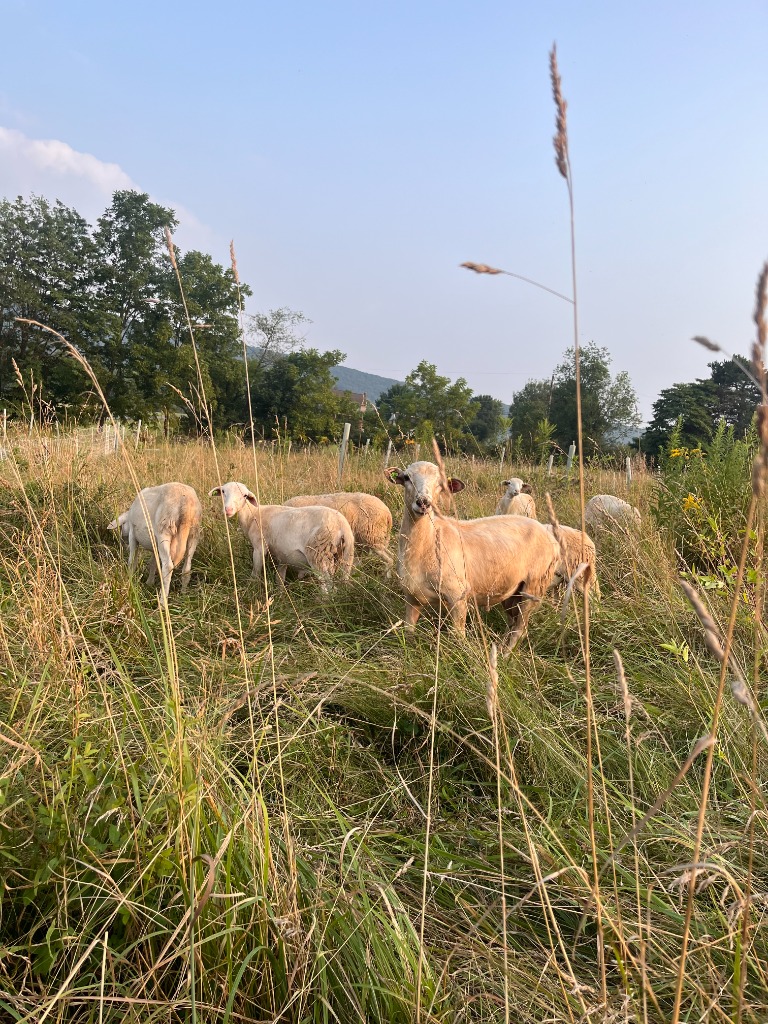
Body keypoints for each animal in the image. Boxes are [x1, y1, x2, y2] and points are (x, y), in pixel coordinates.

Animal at [209, 481, 354, 592]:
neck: (253, 515)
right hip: (343, 555)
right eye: (223, 491)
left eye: (244, 495)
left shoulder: (259, 547)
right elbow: (280, 577)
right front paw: (280, 595)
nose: (228, 510)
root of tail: (342, 524)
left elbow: (256, 571)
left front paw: (251, 589)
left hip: (318, 552)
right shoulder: (282, 555)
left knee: (327, 585)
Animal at [386, 461, 559, 649]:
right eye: (406, 478)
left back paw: (505, 653)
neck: (428, 541)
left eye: (441, 484)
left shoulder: (458, 597)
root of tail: (550, 536)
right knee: (512, 624)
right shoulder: (411, 597)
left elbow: (458, 636)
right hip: (513, 591)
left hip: (533, 588)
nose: (423, 502)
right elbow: (409, 633)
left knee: (519, 631)